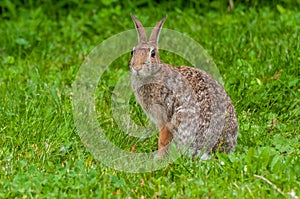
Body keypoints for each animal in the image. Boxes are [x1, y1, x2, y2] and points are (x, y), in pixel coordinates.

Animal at [130, 14, 238, 159]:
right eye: (132, 52)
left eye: (152, 53)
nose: (136, 67)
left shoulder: (163, 116)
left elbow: (162, 139)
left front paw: (157, 157)